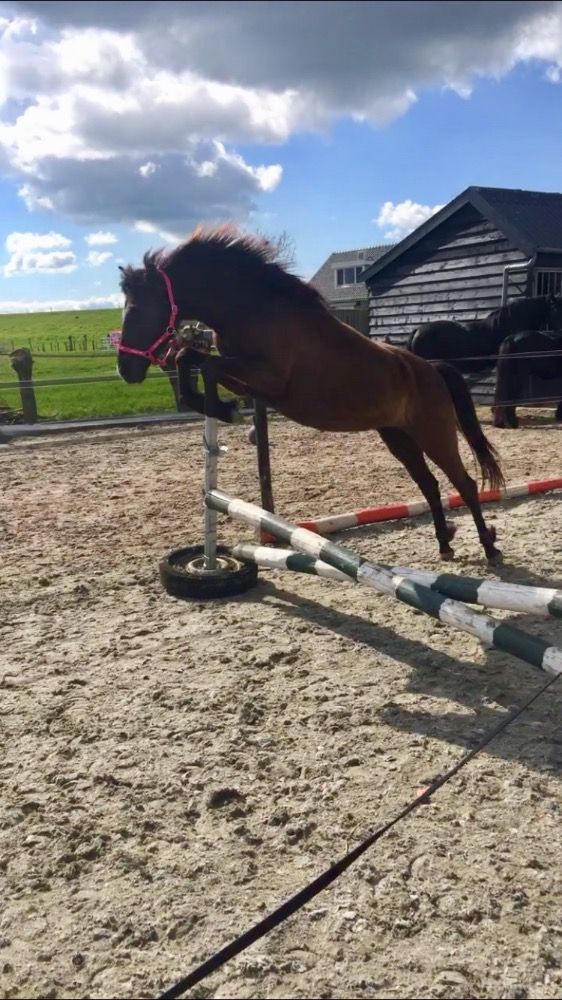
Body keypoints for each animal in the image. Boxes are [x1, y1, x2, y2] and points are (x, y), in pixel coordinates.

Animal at [117, 226, 504, 562]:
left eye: (137, 308)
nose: (126, 370)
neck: (252, 308)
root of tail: (432, 369)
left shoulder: (267, 378)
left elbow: (199, 361)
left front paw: (223, 409)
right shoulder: (247, 380)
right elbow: (190, 359)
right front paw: (220, 407)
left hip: (434, 435)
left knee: (465, 484)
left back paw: (490, 548)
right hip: (399, 438)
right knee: (430, 485)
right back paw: (444, 544)